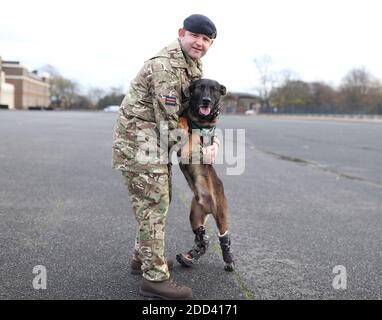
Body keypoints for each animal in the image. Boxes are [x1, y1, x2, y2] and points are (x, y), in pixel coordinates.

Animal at [175, 79, 234, 272]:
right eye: (200, 87)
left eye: (214, 89)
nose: (206, 101)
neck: (199, 118)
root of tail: (208, 207)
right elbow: (182, 117)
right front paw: (182, 121)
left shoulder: (197, 141)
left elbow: (190, 137)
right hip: (194, 216)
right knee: (202, 235)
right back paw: (191, 256)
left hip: (221, 214)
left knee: (224, 235)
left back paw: (229, 259)